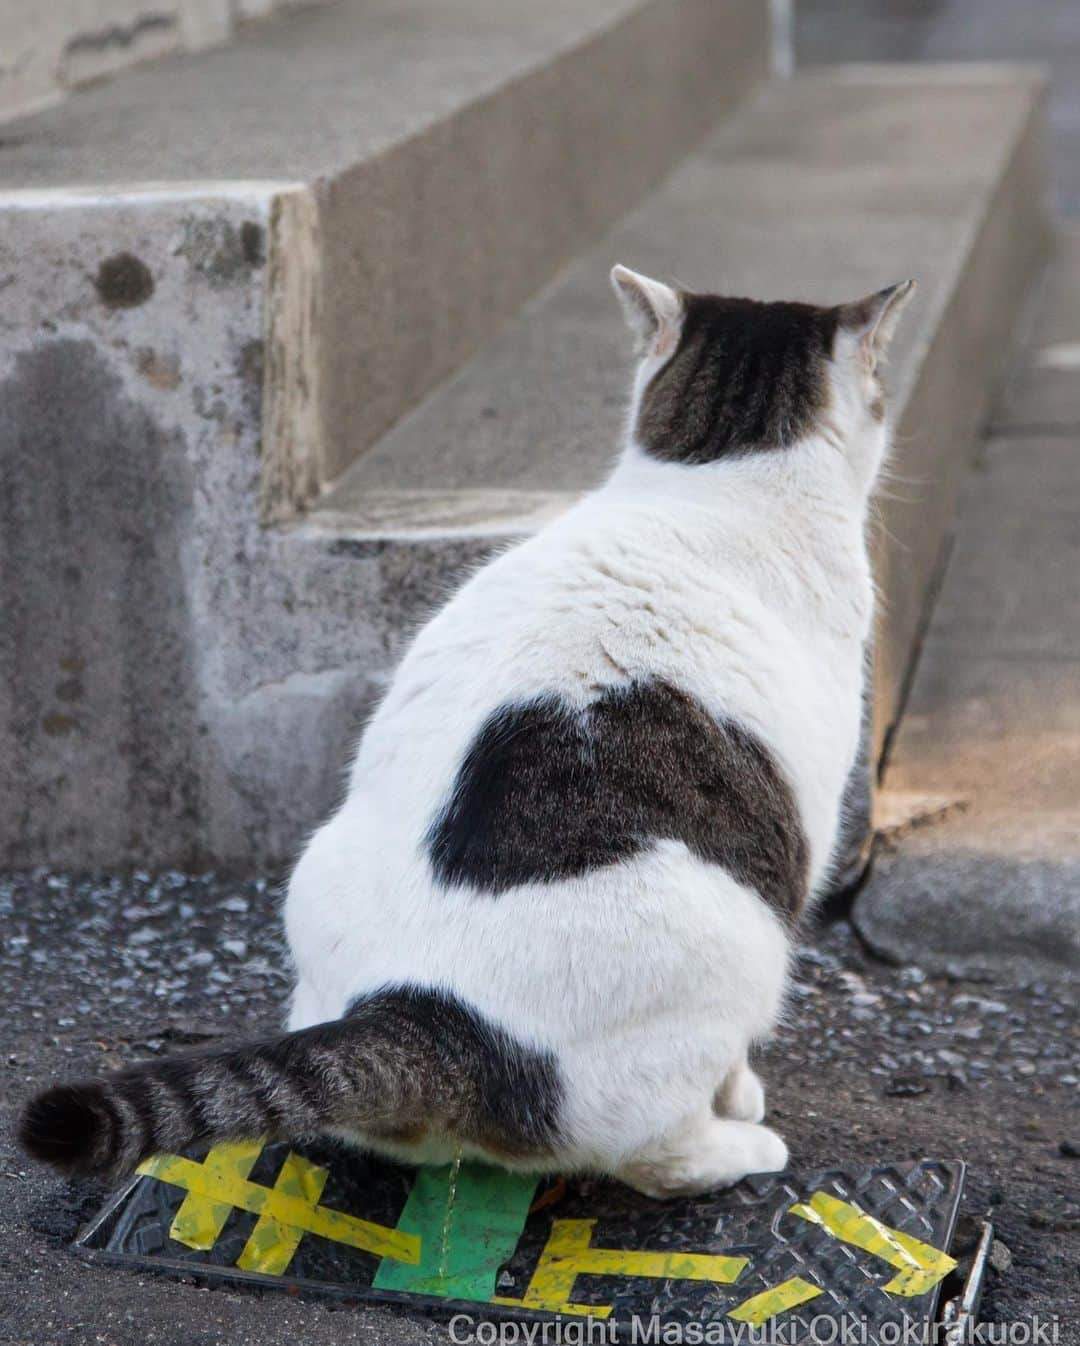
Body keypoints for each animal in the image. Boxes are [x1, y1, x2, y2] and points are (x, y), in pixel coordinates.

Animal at [18, 262, 910, 1200]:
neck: (718, 479)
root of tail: (422, 1010)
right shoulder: (803, 833)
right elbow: (736, 1063)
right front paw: (744, 1096)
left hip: (317, 865)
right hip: (736, 935)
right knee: (657, 1151)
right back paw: (743, 1150)